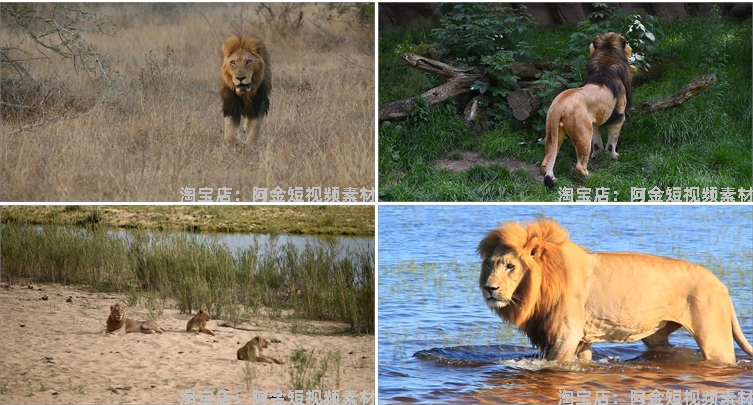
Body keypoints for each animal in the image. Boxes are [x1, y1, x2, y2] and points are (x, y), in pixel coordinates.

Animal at [478, 218, 752, 362]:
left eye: (511, 266)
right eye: (490, 264)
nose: (489, 288)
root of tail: (721, 284)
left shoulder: (566, 335)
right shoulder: (581, 338)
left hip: (714, 339)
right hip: (657, 335)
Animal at [540, 32, 628, 188]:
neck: (606, 62)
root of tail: (559, 106)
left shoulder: (595, 121)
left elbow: (597, 144)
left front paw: (598, 156)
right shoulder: (619, 115)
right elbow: (612, 143)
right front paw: (614, 157)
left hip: (553, 132)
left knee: (546, 162)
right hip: (583, 134)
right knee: (580, 165)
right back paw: (592, 177)